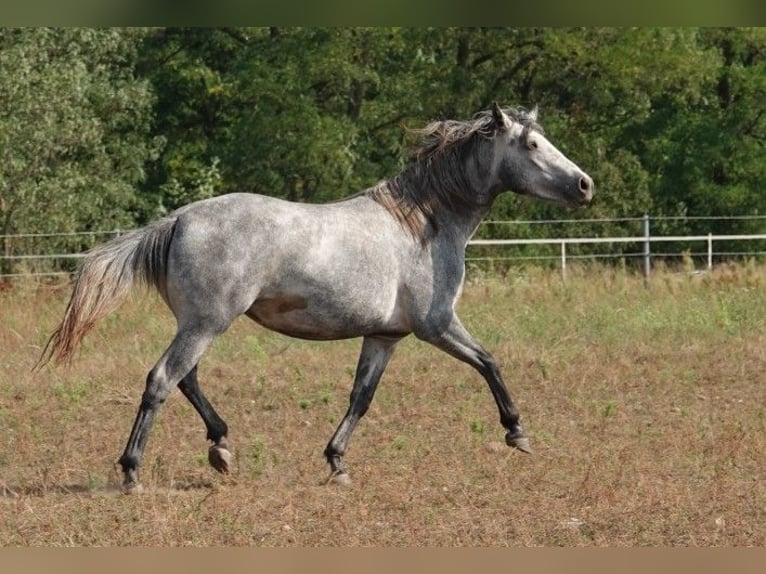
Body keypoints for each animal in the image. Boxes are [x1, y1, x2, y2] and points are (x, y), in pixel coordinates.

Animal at [40, 103, 593, 492]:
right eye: (532, 144)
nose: (586, 185)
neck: (424, 223)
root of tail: (178, 219)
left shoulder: (385, 335)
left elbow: (361, 398)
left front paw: (337, 462)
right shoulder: (436, 325)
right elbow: (489, 362)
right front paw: (517, 433)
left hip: (198, 323)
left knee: (186, 380)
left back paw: (222, 448)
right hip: (206, 323)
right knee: (161, 380)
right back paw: (133, 471)